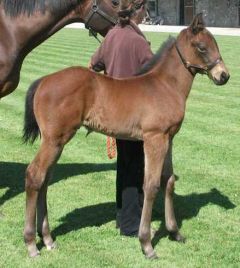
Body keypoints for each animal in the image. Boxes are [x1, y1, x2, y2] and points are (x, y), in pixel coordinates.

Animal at [23, 13, 230, 258]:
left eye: (216, 44)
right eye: (202, 47)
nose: (224, 75)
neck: (165, 85)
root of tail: (43, 81)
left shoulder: (168, 138)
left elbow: (168, 180)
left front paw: (175, 232)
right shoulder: (154, 139)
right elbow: (151, 185)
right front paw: (146, 243)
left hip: (57, 142)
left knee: (44, 180)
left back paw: (47, 238)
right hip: (54, 140)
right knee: (34, 175)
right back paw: (31, 243)